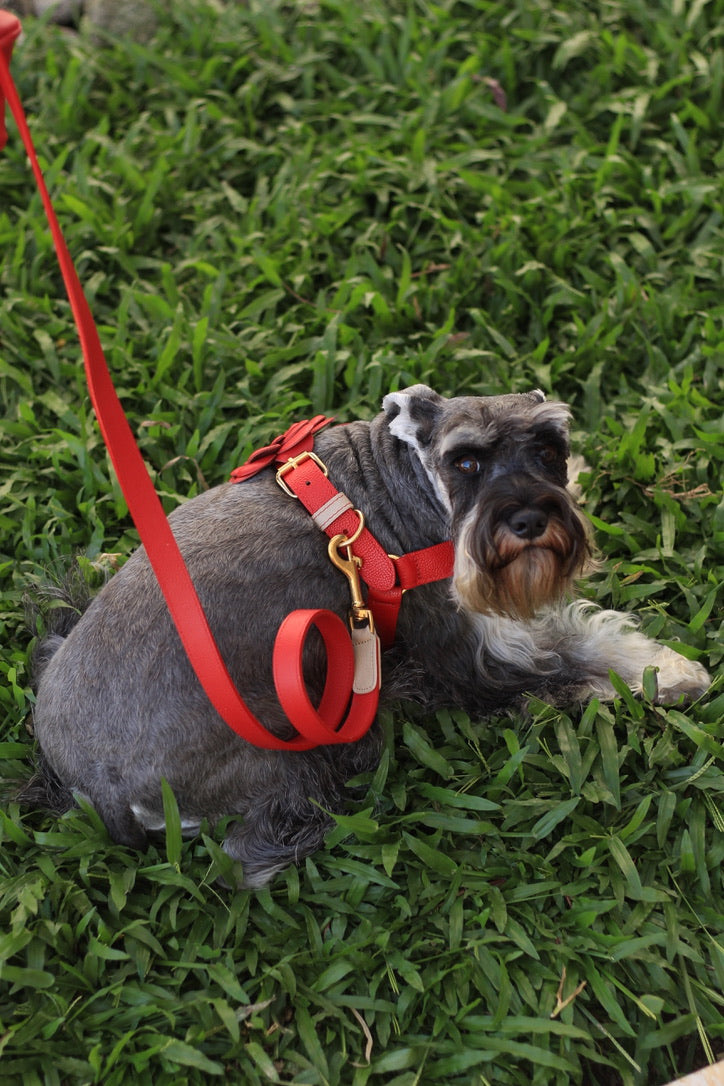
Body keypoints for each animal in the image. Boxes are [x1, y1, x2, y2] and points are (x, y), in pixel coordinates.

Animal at [29, 386, 712, 886]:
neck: (405, 477)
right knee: (252, 853)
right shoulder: (474, 652)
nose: (529, 519)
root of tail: (92, 790)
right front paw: (665, 676)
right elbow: (571, 655)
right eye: (466, 461)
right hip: (283, 757)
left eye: (549, 449)